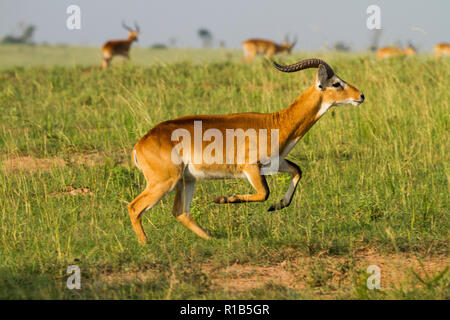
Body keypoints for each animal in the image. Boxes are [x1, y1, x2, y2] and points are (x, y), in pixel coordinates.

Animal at [126, 58, 366, 242]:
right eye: (336, 83)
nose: (361, 96)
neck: (276, 123)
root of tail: (140, 144)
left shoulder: (277, 163)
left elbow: (297, 171)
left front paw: (277, 206)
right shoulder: (250, 167)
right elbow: (264, 193)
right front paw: (224, 199)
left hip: (187, 180)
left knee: (180, 212)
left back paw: (211, 239)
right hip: (165, 182)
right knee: (135, 207)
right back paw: (146, 245)